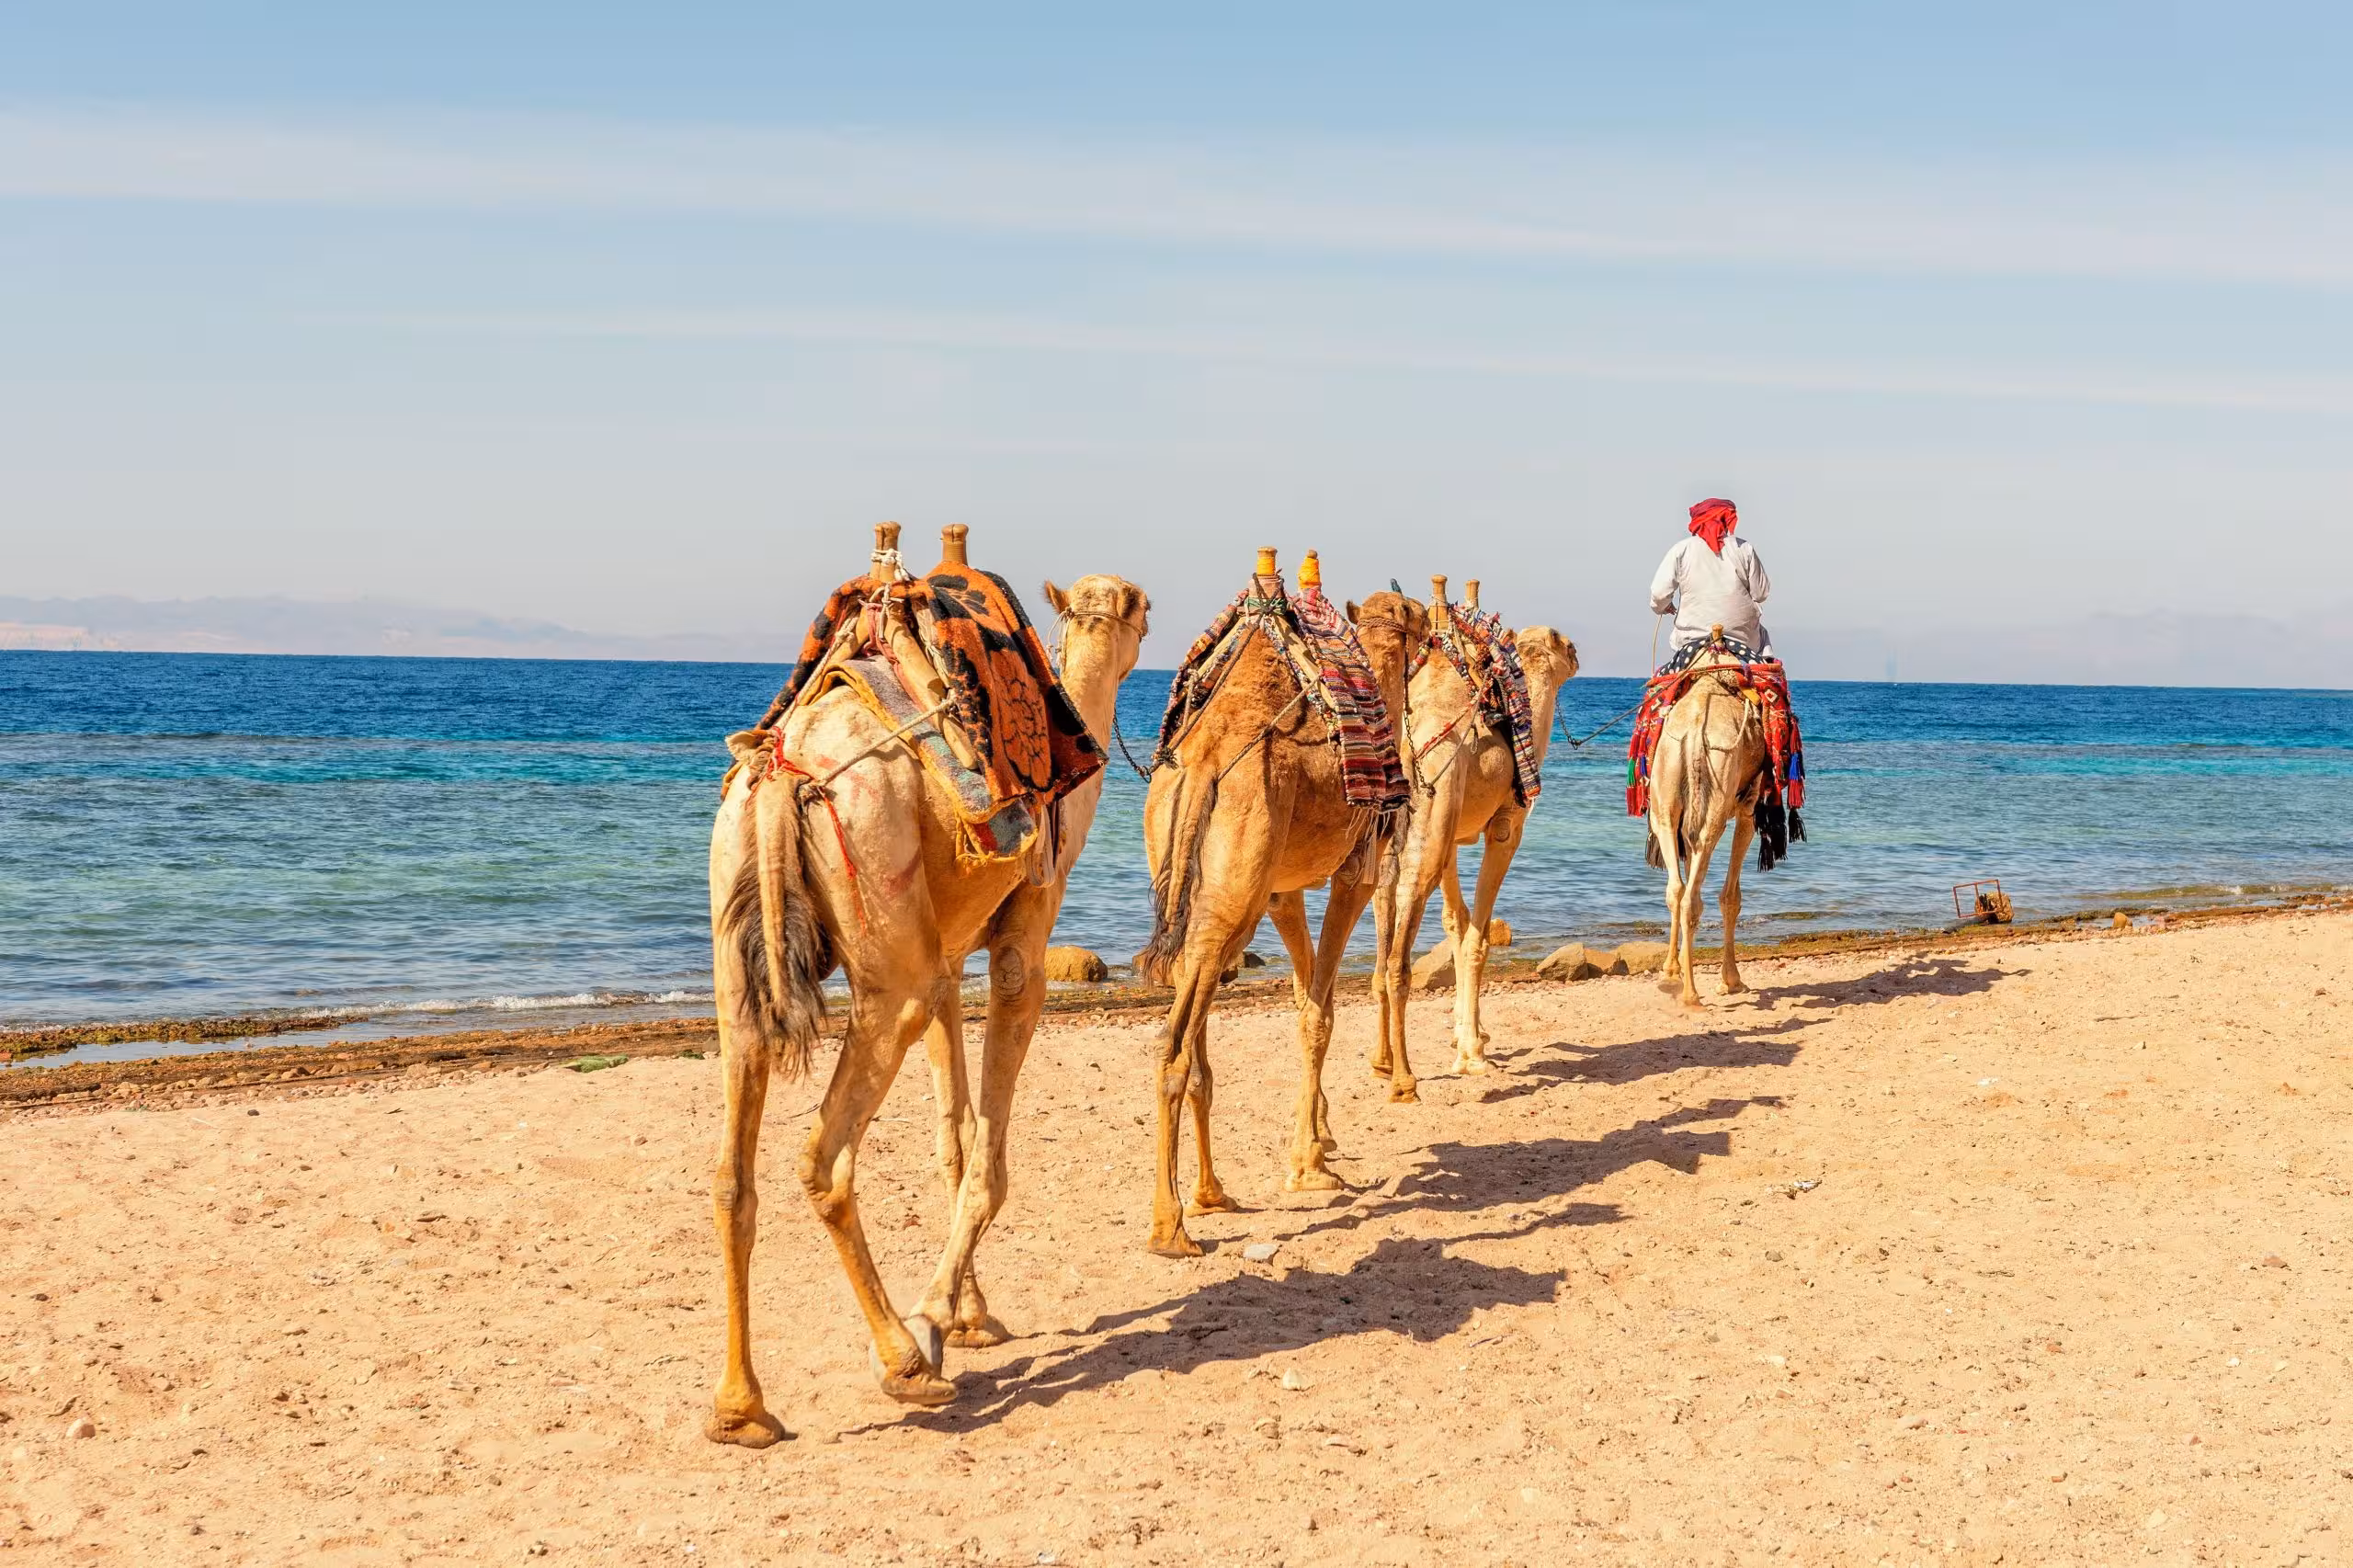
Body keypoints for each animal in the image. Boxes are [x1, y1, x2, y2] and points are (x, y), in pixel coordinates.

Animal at [704, 523, 1148, 1445]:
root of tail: (784, 776)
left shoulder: (944, 957)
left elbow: (953, 1138)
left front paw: (974, 1315)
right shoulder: (1021, 937)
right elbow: (989, 1156)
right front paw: (941, 1317)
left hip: (744, 965)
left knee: (732, 1174)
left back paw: (741, 1409)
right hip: (885, 952)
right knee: (823, 1160)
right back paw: (905, 1365)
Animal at [1135, 549, 1426, 1258]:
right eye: (1420, 631)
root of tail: (1204, 764)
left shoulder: (1279, 889)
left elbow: (1303, 1000)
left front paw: (1319, 1141)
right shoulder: (1354, 872)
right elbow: (1320, 1011)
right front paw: (1310, 1166)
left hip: (1200, 886)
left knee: (1192, 1027)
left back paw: (1212, 1193)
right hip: (1233, 894)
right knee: (1175, 1046)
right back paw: (1171, 1226)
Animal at [1370, 577, 1578, 1094]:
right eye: (1560, 640)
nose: (1576, 650)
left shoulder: (1452, 835)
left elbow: (1456, 923)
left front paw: (1471, 1034)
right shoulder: (1505, 826)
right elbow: (1476, 937)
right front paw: (1471, 1054)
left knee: (1381, 897)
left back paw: (1381, 1059)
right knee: (1405, 905)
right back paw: (1403, 1077)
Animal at [1646, 636, 1774, 1009]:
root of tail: (1694, 730)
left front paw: (1673, 968)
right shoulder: (1747, 810)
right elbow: (1732, 896)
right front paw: (1731, 980)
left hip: (1665, 794)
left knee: (1676, 889)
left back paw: (1673, 977)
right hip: (1718, 791)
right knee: (1694, 894)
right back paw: (1691, 994)